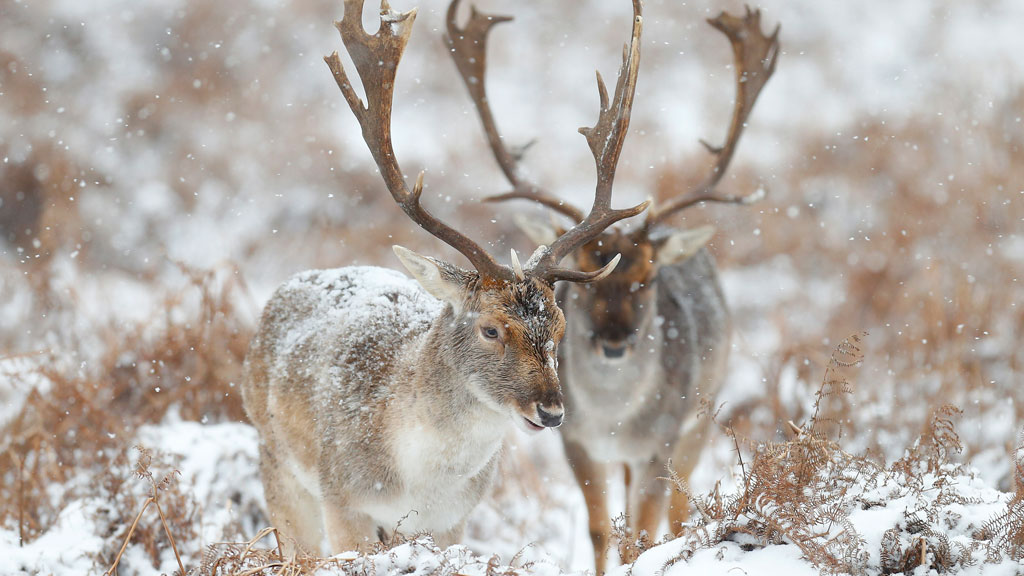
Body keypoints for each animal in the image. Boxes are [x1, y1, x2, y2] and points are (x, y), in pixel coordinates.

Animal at [239, 0, 647, 557]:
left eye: (560, 328)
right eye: (491, 328)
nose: (551, 412)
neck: (417, 480)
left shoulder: (455, 519)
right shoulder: (343, 501)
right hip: (276, 462)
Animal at [444, 1, 778, 569]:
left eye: (648, 277)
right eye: (584, 281)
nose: (615, 343)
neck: (614, 421)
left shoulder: (661, 442)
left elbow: (640, 533)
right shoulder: (576, 441)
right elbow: (602, 531)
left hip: (701, 417)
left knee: (678, 512)